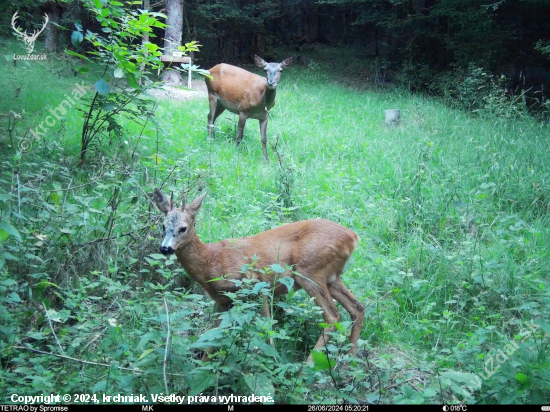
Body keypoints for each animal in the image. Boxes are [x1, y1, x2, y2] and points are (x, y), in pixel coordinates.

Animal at [153, 188, 366, 362]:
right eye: (163, 226)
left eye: (183, 228)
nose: (164, 248)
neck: (211, 261)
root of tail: (353, 237)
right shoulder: (223, 302)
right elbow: (213, 336)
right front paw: (202, 367)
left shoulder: (255, 284)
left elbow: (267, 328)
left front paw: (271, 361)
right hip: (332, 276)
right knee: (357, 308)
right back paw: (349, 359)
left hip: (310, 272)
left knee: (333, 316)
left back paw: (308, 366)